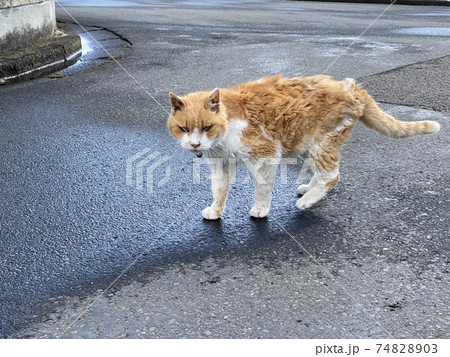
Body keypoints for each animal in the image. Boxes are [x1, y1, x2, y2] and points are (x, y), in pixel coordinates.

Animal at [167, 74, 442, 218]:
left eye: (206, 127)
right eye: (184, 129)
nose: (195, 144)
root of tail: (353, 88)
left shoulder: (266, 155)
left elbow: (262, 188)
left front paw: (261, 209)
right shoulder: (221, 164)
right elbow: (219, 189)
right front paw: (216, 211)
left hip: (322, 143)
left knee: (332, 175)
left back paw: (307, 201)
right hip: (309, 144)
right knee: (323, 174)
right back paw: (309, 189)